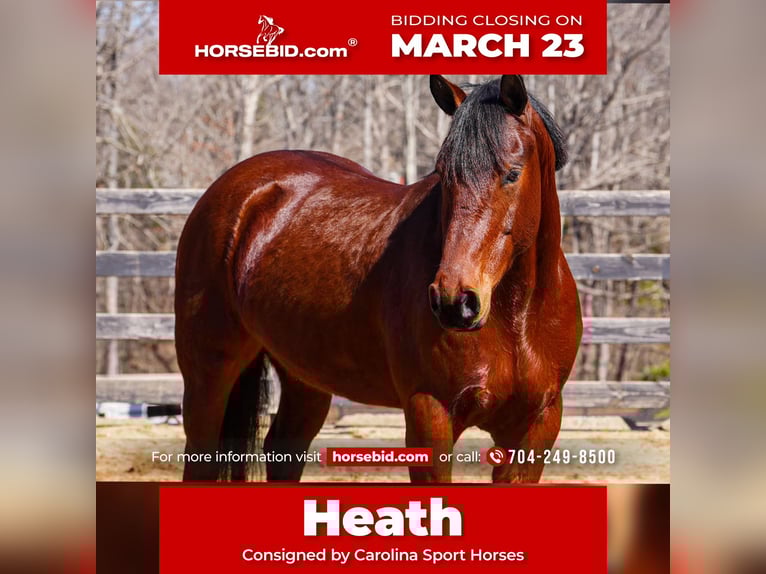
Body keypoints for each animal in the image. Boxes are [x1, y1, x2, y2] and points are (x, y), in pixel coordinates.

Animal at [175, 75, 582, 483]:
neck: (516, 317)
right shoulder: (429, 415)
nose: (454, 302)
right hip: (209, 375)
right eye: (443, 175)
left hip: (305, 379)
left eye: (512, 173)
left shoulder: (535, 426)